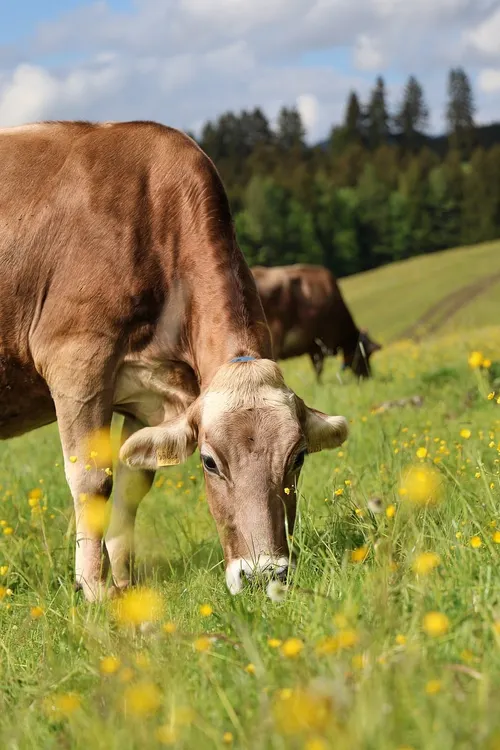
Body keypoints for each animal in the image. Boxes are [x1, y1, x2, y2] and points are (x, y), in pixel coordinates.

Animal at [0, 121, 348, 602]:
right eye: (209, 462)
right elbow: (92, 481)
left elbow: (132, 484)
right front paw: (95, 591)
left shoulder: (149, 396)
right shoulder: (76, 359)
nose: (263, 576)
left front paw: (125, 586)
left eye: (297, 457)